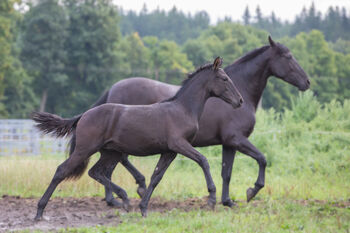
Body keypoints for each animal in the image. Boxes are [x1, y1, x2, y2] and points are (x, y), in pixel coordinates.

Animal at [32, 57, 243, 219]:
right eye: (224, 78)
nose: (240, 101)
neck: (183, 109)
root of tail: (83, 115)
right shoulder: (179, 144)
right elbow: (203, 161)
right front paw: (212, 198)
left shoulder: (169, 151)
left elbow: (156, 177)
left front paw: (143, 208)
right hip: (85, 149)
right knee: (62, 171)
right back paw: (40, 212)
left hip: (110, 153)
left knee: (96, 172)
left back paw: (124, 198)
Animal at [62, 35, 308, 207]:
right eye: (288, 57)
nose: (307, 82)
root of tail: (112, 89)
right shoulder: (236, 139)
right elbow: (262, 159)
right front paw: (250, 191)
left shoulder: (228, 143)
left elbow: (227, 172)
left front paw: (227, 201)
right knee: (117, 162)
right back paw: (127, 192)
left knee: (111, 165)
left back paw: (118, 196)